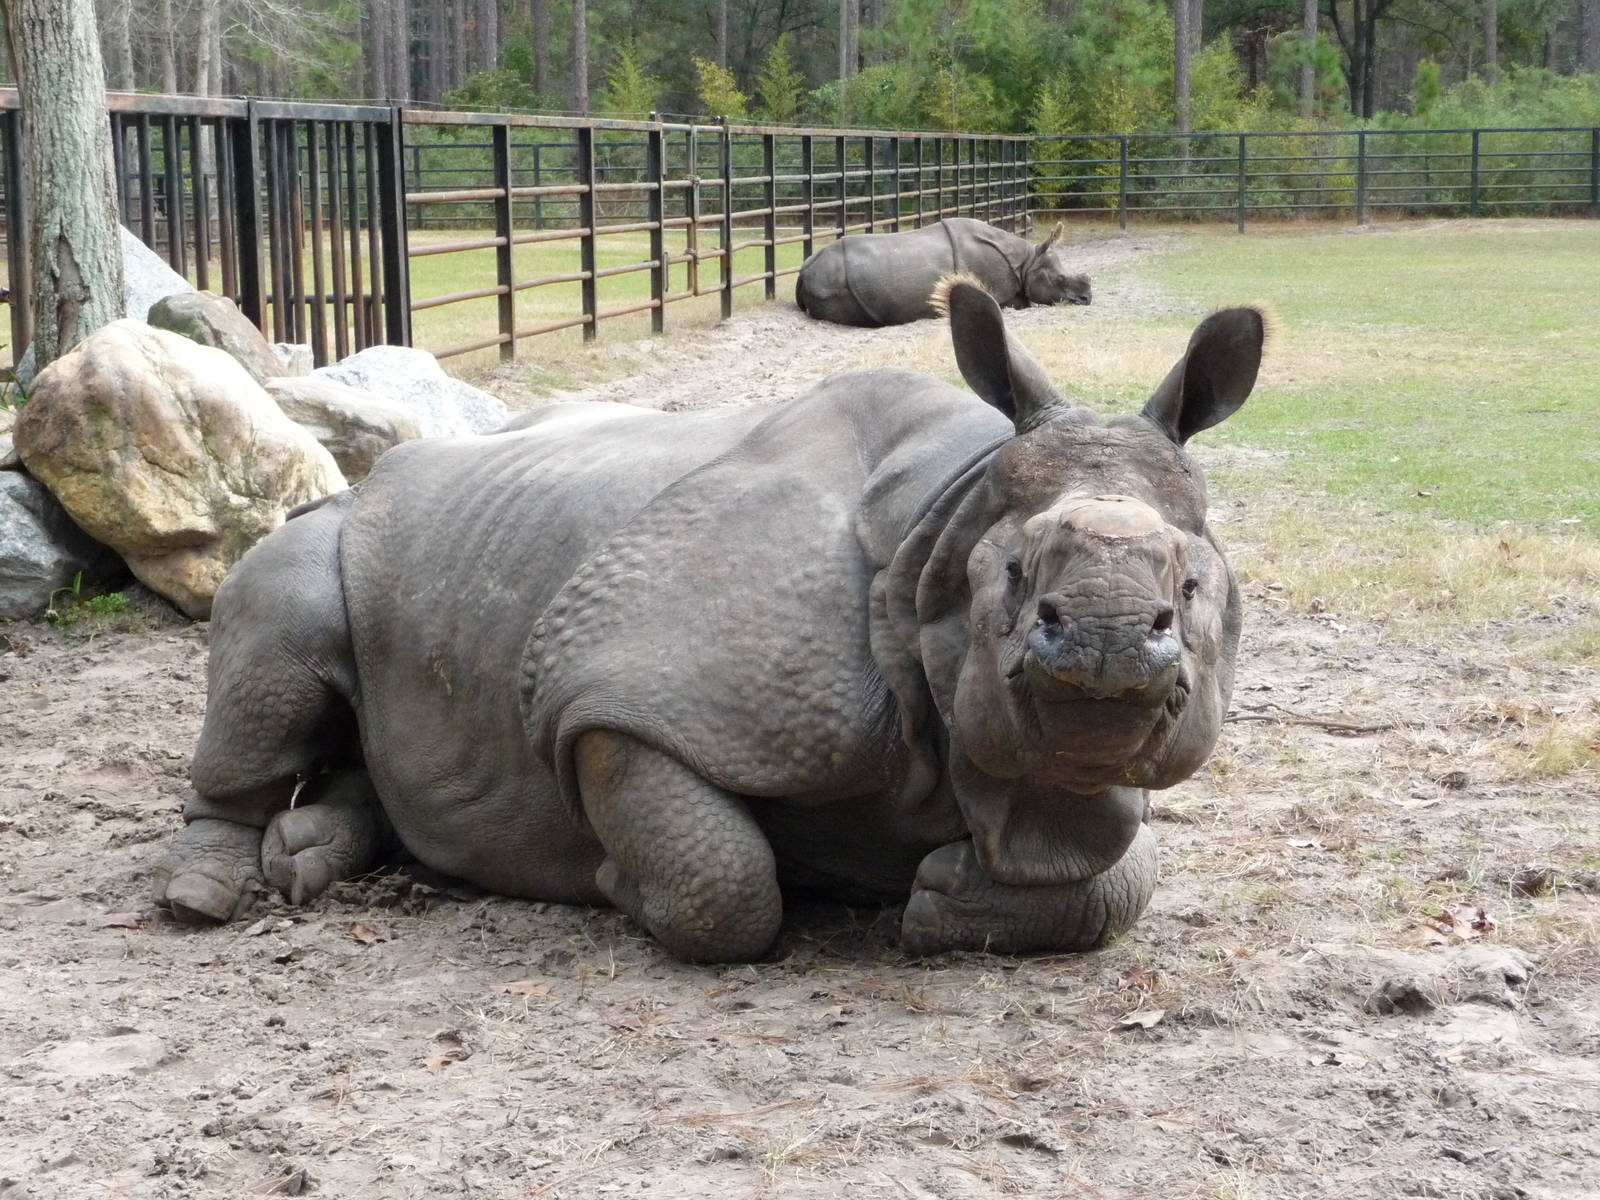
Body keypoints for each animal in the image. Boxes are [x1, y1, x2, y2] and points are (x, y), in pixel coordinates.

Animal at [152, 277, 1264, 962]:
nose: (1110, 644)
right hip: (327, 527)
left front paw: (944, 893)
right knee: (282, 630)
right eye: (1018, 576)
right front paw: (616, 884)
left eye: (1189, 592)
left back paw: (309, 855)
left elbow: (1121, 873)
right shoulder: (611, 691)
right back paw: (205, 899)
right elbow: (723, 881)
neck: (940, 530)